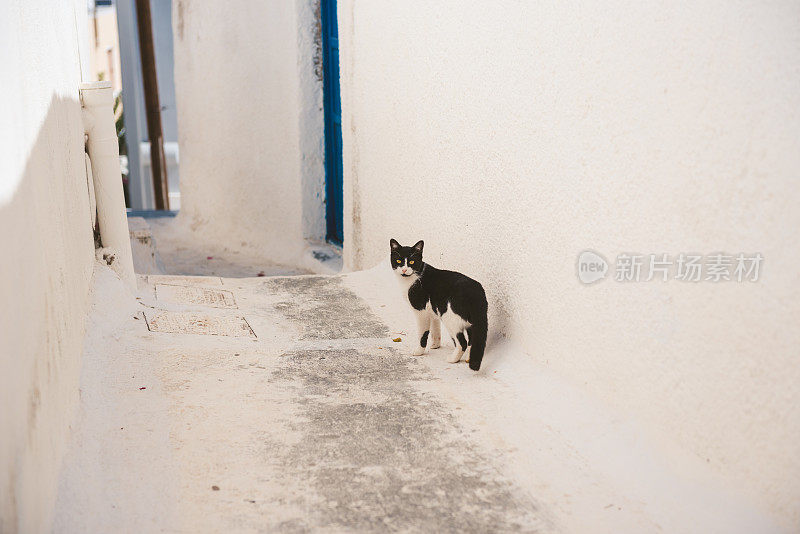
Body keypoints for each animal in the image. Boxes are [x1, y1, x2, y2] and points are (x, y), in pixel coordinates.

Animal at [390, 240, 488, 372]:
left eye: (411, 262)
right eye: (399, 261)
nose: (404, 270)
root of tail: (476, 292)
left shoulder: (421, 312)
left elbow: (423, 333)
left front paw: (419, 351)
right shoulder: (433, 312)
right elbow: (435, 329)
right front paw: (435, 345)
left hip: (450, 318)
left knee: (462, 342)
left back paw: (453, 359)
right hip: (470, 320)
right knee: (472, 339)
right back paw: (468, 358)